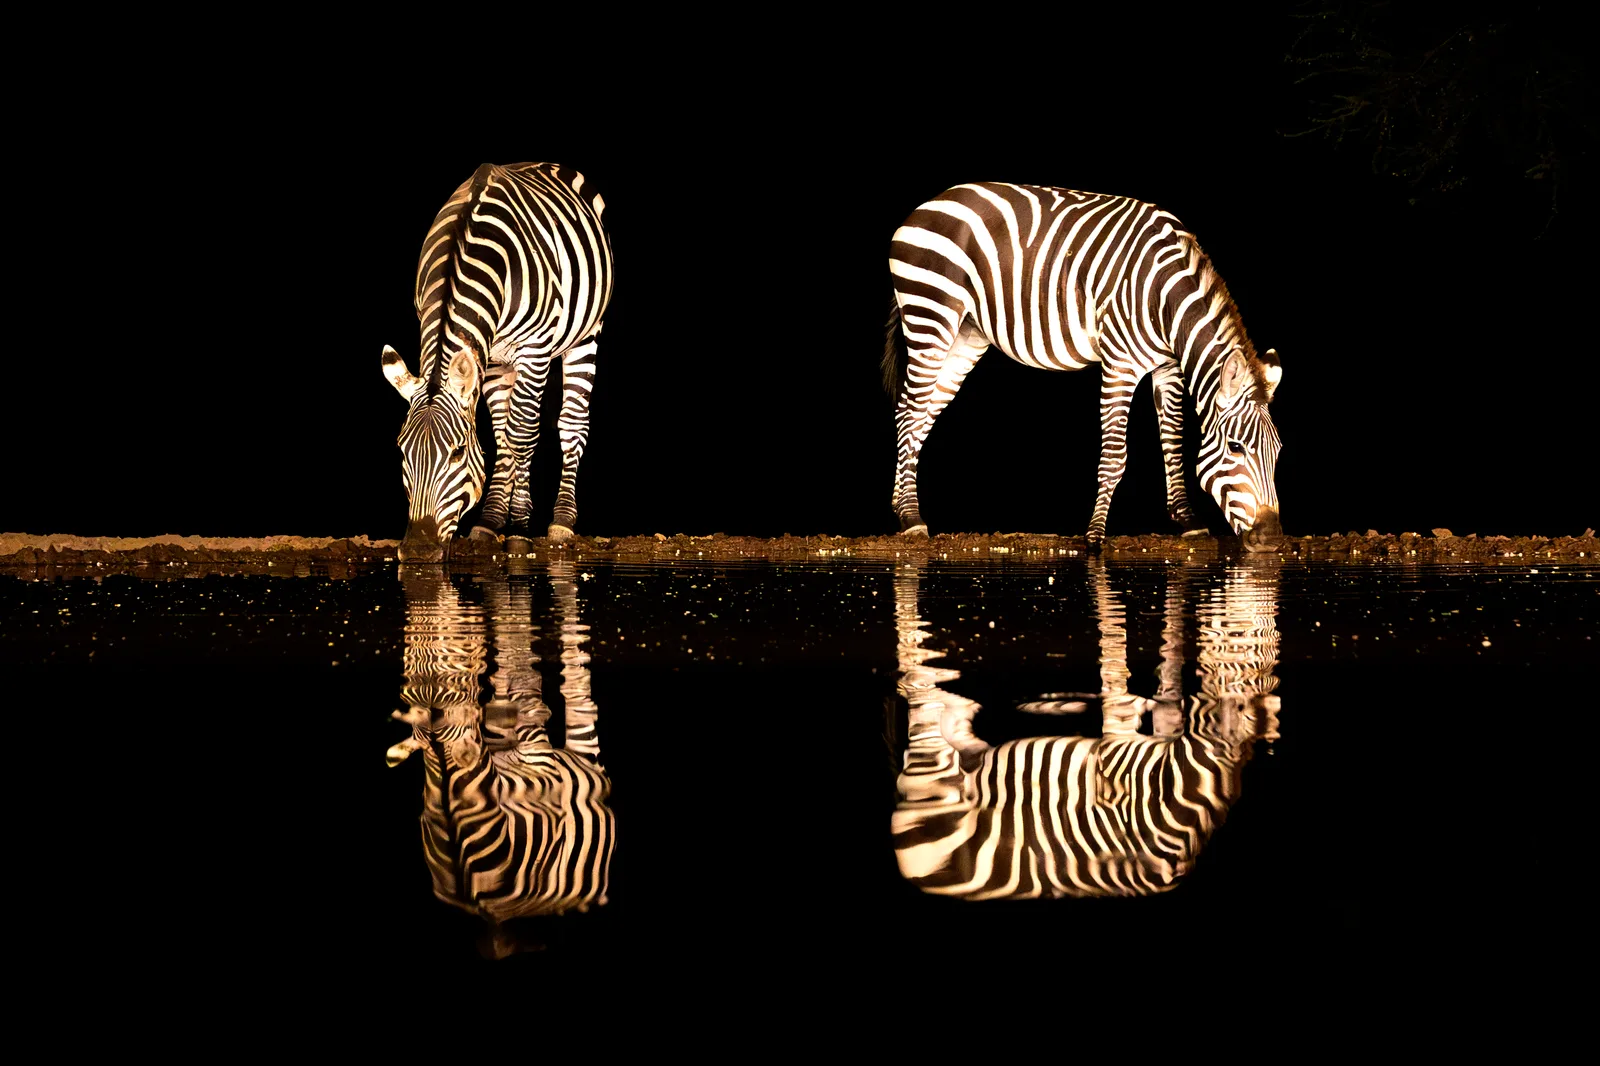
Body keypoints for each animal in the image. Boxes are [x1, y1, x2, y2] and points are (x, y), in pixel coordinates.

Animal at [382, 162, 613, 562]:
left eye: (457, 452)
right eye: (401, 450)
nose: (418, 552)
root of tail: (544, 164)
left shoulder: (534, 349)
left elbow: (522, 433)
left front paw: (519, 528)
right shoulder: (485, 355)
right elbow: (504, 435)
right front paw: (492, 522)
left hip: (586, 334)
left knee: (570, 423)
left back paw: (562, 520)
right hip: (501, 362)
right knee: (508, 428)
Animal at [884, 182, 1285, 551]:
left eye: (1278, 450)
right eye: (1236, 447)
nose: (1270, 539)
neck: (1166, 298)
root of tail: (929, 203)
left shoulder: (1167, 366)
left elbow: (1172, 441)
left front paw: (1188, 521)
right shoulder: (1120, 363)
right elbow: (1115, 457)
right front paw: (1094, 535)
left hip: (966, 334)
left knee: (920, 414)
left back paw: (902, 510)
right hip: (930, 315)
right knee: (909, 410)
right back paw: (911, 517)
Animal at [890, 559, 1281, 899]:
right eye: (1238, 636)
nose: (1212, 609)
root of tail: (909, 870)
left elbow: (1166, 693)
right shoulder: (1118, 746)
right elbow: (1118, 676)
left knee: (957, 731)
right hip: (934, 767)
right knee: (919, 689)